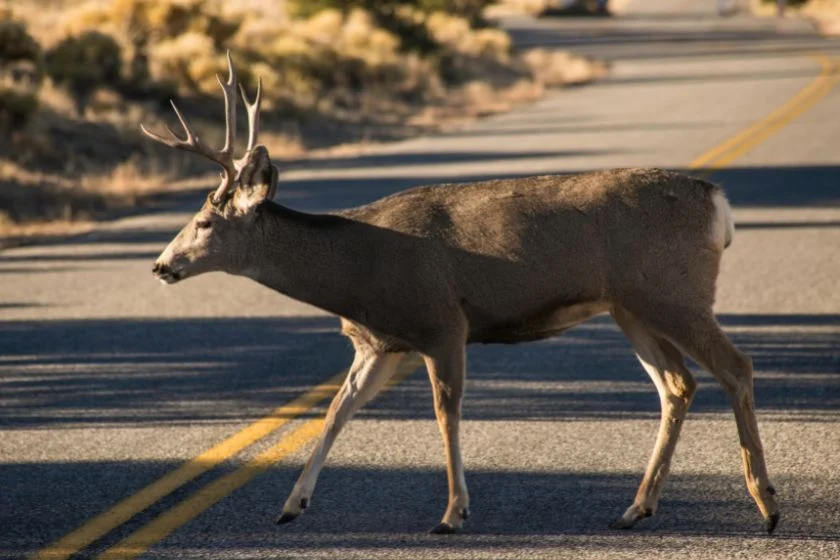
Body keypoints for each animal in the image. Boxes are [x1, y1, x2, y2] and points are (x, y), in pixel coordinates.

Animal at [144, 54, 780, 536]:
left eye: (204, 222)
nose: (160, 265)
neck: (355, 271)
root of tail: (716, 202)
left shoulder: (442, 322)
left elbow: (444, 412)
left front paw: (452, 513)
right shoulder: (378, 343)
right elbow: (336, 410)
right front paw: (290, 505)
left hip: (674, 292)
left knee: (735, 366)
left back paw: (767, 504)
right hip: (632, 307)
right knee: (677, 385)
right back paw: (636, 507)